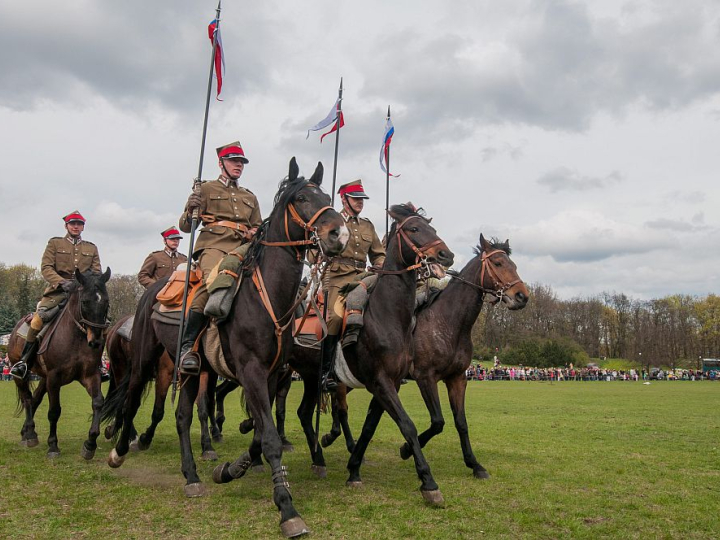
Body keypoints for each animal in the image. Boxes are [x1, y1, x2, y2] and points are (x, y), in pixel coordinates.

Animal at [7, 268, 111, 458]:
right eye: (84, 302)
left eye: (106, 302)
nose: (96, 342)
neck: (76, 337)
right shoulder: (54, 378)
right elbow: (54, 411)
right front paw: (53, 446)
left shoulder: (90, 375)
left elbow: (98, 402)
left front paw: (90, 443)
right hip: (21, 375)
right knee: (27, 398)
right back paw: (30, 434)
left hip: (43, 377)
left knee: (35, 399)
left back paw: (27, 432)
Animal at [102, 158, 348, 536]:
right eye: (302, 197)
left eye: (327, 197)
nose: (340, 234)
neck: (267, 297)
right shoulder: (250, 371)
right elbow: (270, 437)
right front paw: (287, 509)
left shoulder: (272, 375)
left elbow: (262, 433)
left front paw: (231, 469)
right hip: (144, 360)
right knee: (129, 400)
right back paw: (118, 451)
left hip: (193, 369)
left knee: (182, 415)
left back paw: (191, 475)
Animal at [400, 236, 528, 476]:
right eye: (498, 263)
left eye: (514, 265)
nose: (522, 296)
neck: (449, 323)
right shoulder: (425, 378)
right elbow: (438, 421)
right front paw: (406, 449)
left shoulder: (457, 379)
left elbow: (461, 422)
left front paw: (474, 464)